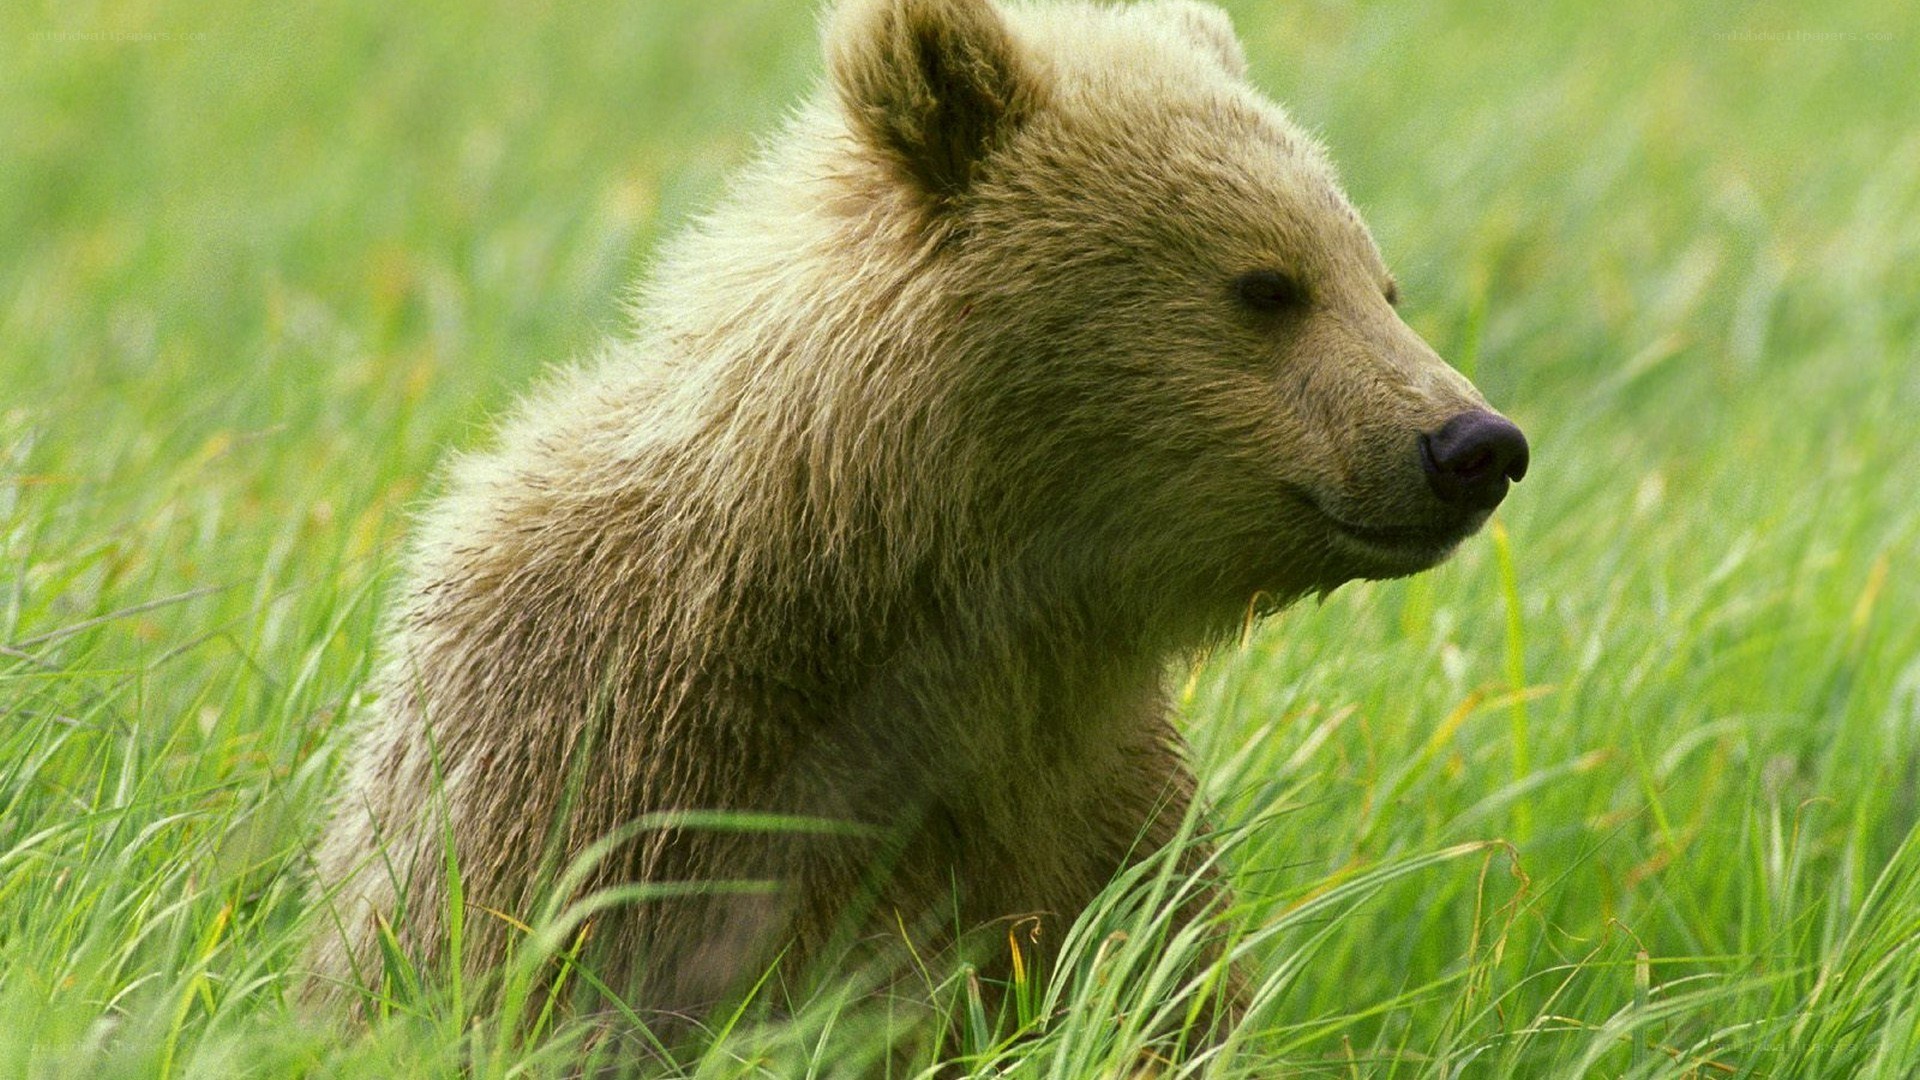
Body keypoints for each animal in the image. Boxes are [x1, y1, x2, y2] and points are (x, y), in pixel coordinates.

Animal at [306, 0, 1528, 1056]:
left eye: (1381, 283)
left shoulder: (1096, 815)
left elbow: (1152, 993)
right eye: (1268, 285)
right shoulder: (605, 776)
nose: (1473, 444)